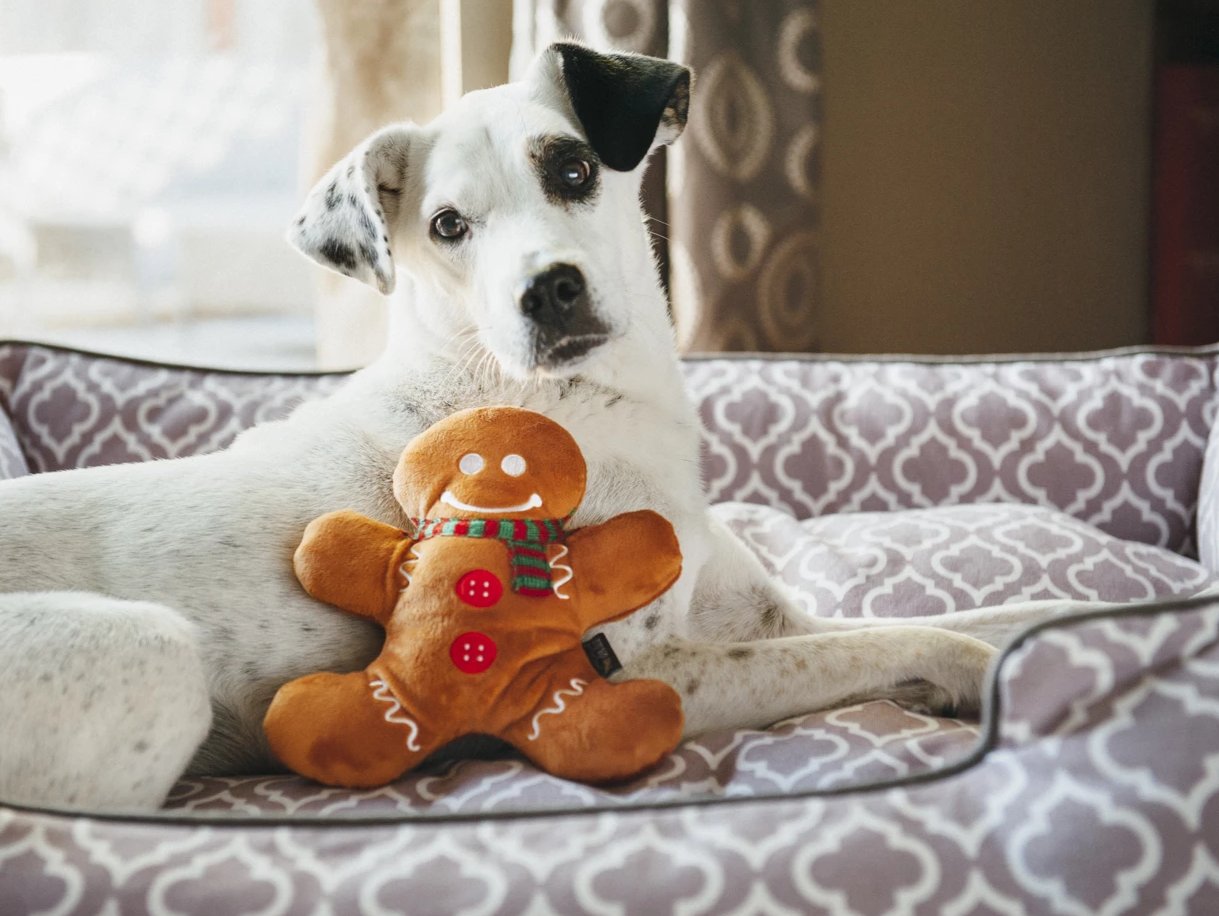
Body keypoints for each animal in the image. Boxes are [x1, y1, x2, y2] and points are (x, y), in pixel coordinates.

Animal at [2, 46, 1048, 814]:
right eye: (447, 226)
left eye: (573, 167)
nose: (546, 291)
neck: (582, 403)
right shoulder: (647, 673)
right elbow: (917, 643)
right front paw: (976, 677)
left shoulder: (765, 618)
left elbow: (981, 617)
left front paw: (1059, 632)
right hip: (154, 656)